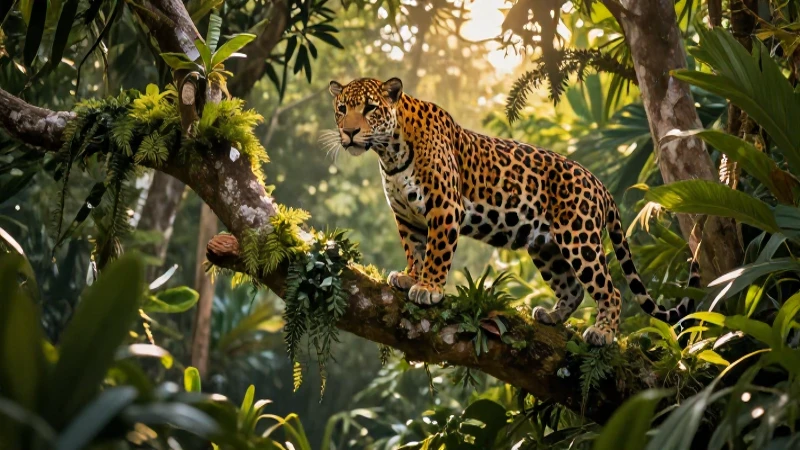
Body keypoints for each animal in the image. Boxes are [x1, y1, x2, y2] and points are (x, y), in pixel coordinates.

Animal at [325, 77, 699, 346]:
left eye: (370, 108)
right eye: (341, 108)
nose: (349, 131)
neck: (390, 153)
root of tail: (599, 184)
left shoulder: (445, 206)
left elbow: (436, 253)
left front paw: (428, 288)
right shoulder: (406, 216)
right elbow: (415, 250)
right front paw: (409, 277)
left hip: (579, 238)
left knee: (610, 289)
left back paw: (603, 333)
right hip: (547, 247)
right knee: (573, 288)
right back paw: (552, 316)